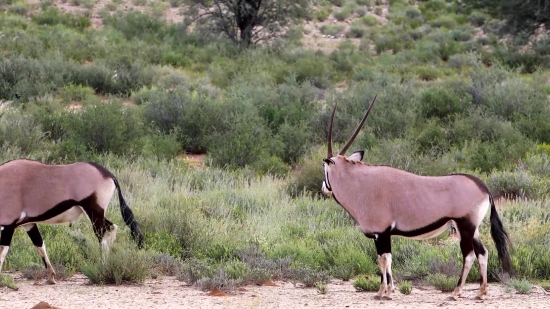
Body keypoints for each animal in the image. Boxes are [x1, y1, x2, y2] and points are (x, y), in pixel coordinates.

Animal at [0, 160, 144, 282]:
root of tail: (108, 174)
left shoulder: (8, 225)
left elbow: (2, 250)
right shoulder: (29, 224)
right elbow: (40, 245)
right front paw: (51, 277)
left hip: (94, 214)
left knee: (102, 237)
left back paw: (103, 267)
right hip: (97, 214)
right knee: (112, 227)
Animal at [324, 95, 512, 300]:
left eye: (324, 168)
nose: (324, 189)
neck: (360, 184)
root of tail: (483, 187)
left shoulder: (381, 233)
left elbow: (384, 259)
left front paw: (384, 292)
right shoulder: (379, 236)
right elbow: (385, 259)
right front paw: (388, 290)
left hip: (464, 226)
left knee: (469, 255)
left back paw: (456, 292)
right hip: (473, 228)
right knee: (482, 253)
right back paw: (481, 292)